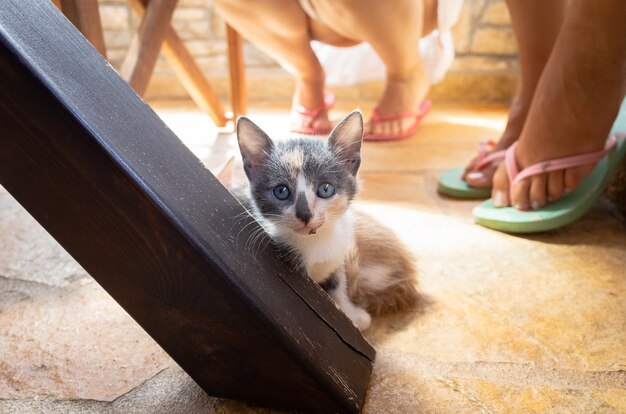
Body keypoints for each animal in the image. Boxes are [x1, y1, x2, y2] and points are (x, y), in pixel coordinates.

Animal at [232, 110, 416, 330]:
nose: (304, 214)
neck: (318, 240)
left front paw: (349, 314)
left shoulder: (340, 252)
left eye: (325, 189)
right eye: (281, 191)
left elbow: (337, 283)